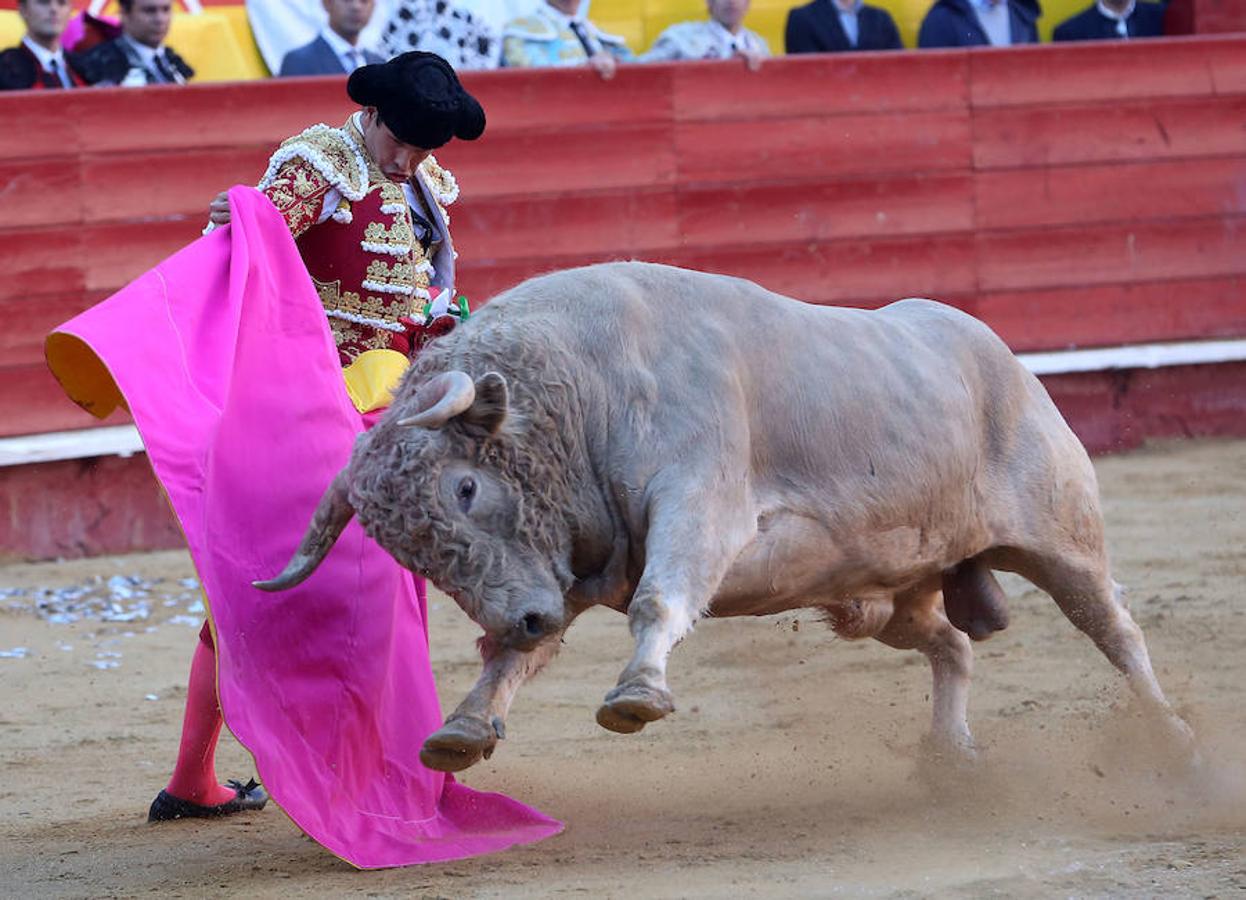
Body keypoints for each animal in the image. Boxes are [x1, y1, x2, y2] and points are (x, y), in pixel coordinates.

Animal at [255, 259, 1196, 772]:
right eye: (408, 553)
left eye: (464, 489)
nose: (519, 618)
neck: (582, 386)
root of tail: (997, 351)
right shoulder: (561, 569)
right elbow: (523, 661)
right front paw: (462, 728)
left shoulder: (697, 505)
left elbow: (659, 601)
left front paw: (637, 695)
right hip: (882, 597)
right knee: (952, 646)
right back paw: (951, 756)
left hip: (1061, 537)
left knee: (1116, 630)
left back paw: (1173, 736)